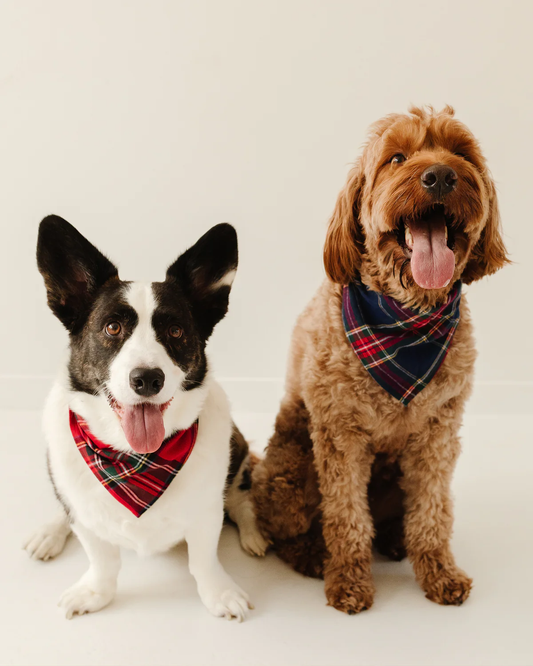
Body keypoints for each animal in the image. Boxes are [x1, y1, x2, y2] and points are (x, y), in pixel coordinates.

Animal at [24, 217, 266, 616]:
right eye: (112, 328)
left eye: (176, 331)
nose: (148, 379)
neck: (133, 458)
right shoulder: (87, 520)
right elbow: (102, 560)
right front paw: (95, 593)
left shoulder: (206, 514)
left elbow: (204, 560)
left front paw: (219, 593)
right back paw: (47, 533)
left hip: (239, 449)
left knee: (240, 499)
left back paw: (253, 533)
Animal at [251, 105, 510, 612]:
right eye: (396, 158)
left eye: (460, 152)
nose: (440, 175)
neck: (406, 322)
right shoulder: (340, 435)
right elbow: (347, 517)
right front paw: (349, 580)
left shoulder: (438, 433)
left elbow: (431, 513)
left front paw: (438, 571)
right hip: (289, 471)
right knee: (285, 528)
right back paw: (312, 555)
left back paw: (394, 541)